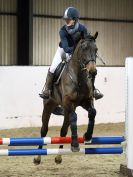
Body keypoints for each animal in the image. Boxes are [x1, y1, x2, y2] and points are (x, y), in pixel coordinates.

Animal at [33, 31, 98, 165]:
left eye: (96, 49)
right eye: (83, 48)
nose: (93, 71)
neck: (79, 78)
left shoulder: (86, 101)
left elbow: (92, 112)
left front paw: (87, 136)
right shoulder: (68, 102)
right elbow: (74, 116)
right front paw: (75, 144)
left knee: (63, 131)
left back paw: (58, 157)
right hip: (48, 106)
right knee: (44, 130)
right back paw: (37, 157)